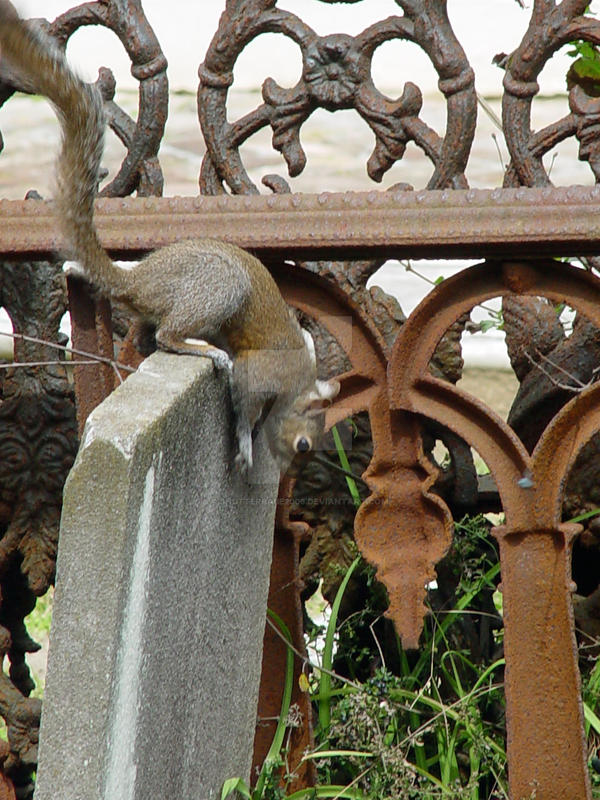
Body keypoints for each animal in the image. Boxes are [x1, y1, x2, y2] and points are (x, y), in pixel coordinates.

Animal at [0, 2, 340, 475]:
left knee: (148, 338)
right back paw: (206, 351)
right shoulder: (261, 372)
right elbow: (244, 399)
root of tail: (138, 283)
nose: (289, 465)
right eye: (305, 443)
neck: (297, 381)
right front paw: (245, 445)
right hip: (217, 288)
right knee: (167, 337)